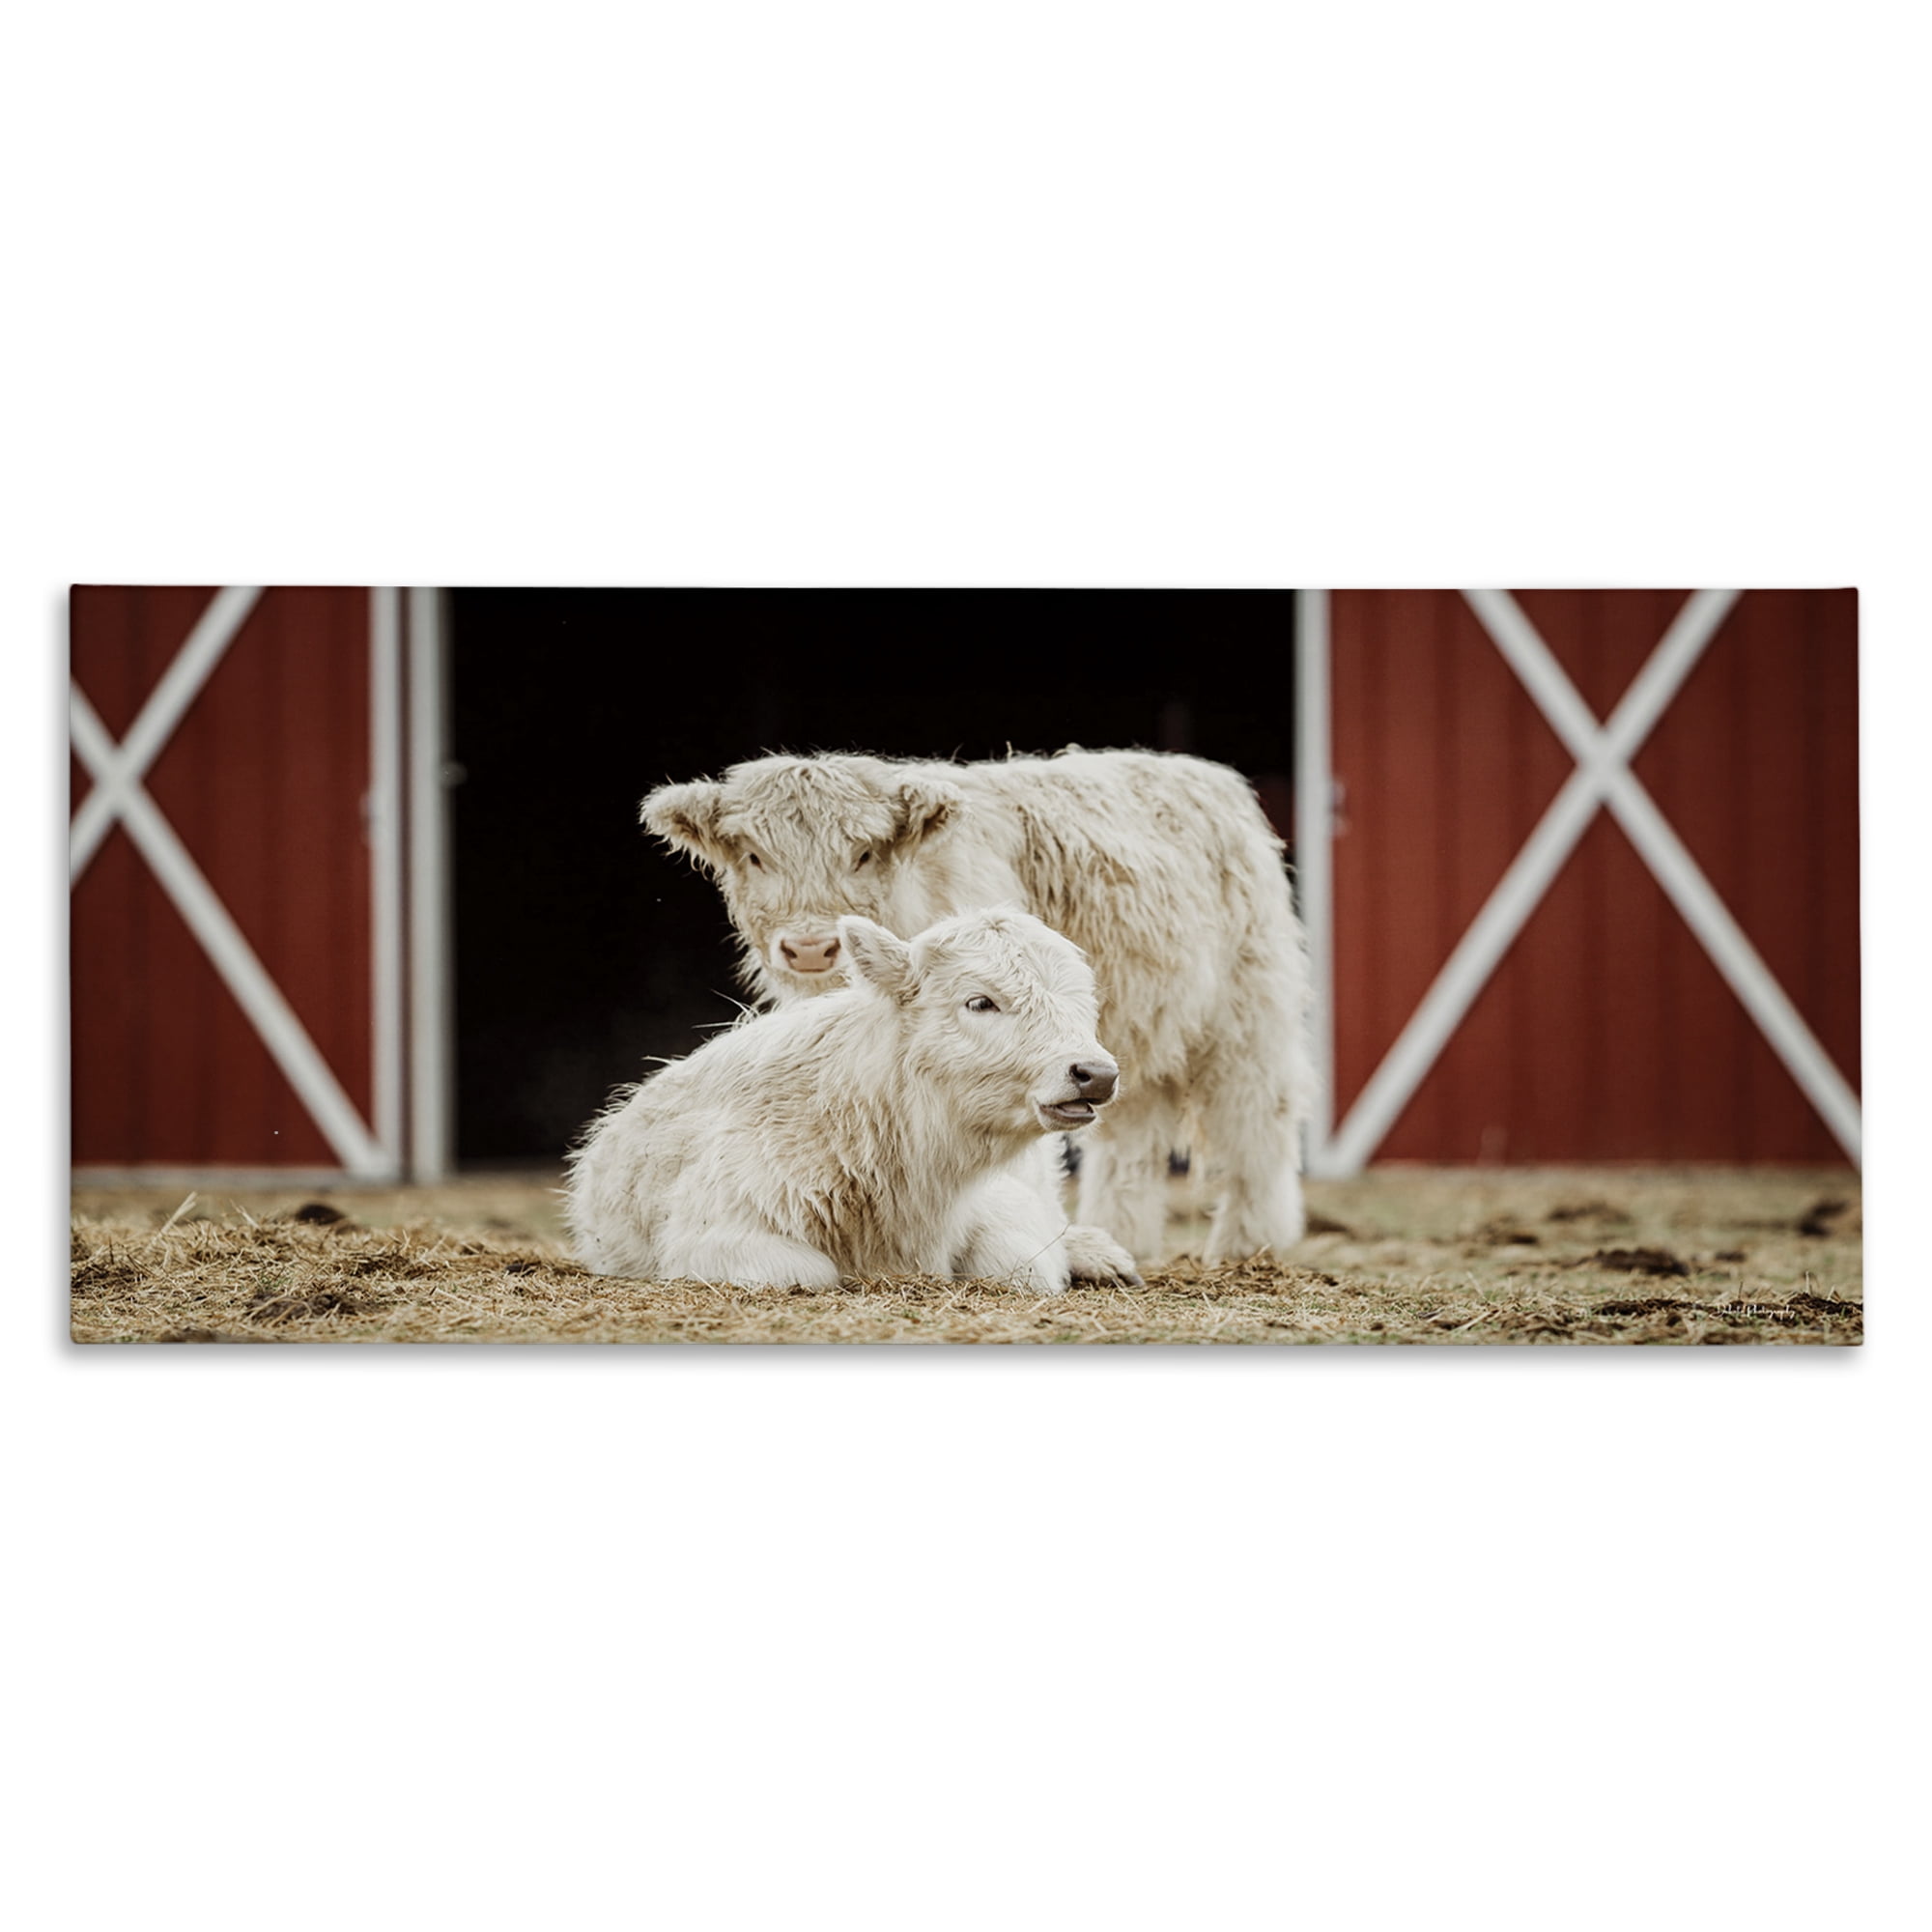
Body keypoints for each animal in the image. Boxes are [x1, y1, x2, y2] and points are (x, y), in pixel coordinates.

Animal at [564, 908, 1140, 1293]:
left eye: (1084, 1003)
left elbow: (1021, 1264)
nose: (1096, 1074)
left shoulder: (1003, 1202)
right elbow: (811, 1273)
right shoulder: (710, 1232)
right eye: (980, 1002)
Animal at [641, 746, 1312, 1264]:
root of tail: (1202, 773)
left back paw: (1250, 1243)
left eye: (863, 854)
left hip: (1246, 1017)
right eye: (756, 856)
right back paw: (1125, 1236)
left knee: (1258, 1121)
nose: (809, 946)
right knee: (1132, 1141)